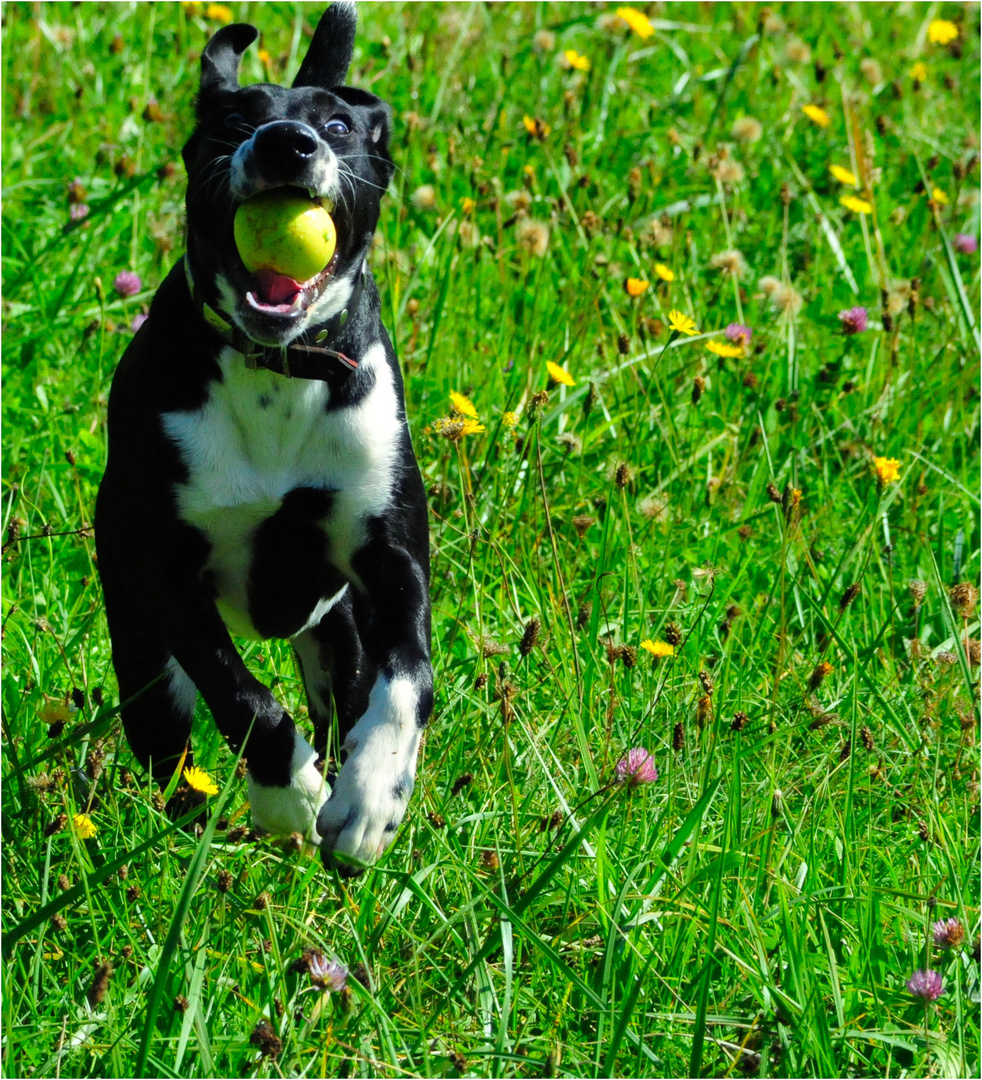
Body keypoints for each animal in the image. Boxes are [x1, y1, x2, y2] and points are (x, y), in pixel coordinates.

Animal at [95, 0, 429, 868]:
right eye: (233, 122)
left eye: (339, 125)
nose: (287, 142)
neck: (281, 367)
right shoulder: (162, 569)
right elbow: (239, 692)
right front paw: (289, 792)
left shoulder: (391, 562)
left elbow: (410, 679)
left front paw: (370, 796)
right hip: (143, 659)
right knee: (171, 732)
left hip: (337, 639)